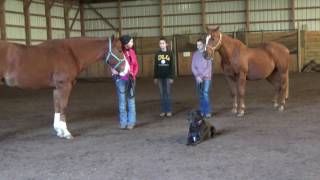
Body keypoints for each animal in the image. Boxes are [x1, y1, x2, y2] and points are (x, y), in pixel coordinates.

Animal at [0, 35, 130, 139]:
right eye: (119, 50)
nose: (127, 70)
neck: (70, 53)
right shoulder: (64, 86)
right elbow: (63, 107)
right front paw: (66, 133)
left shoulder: (56, 88)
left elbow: (57, 107)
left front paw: (59, 131)